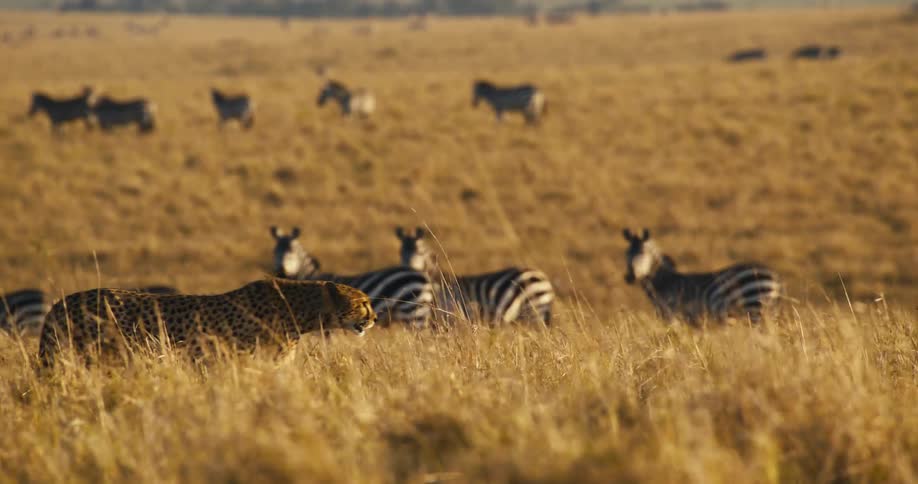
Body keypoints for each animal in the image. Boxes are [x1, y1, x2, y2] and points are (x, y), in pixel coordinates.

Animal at [395, 226, 554, 326]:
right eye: (400, 252)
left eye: (420, 252)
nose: (409, 268)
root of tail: (542, 275)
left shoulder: (450, 314)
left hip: (534, 311)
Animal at [622, 228, 782, 325]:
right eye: (626, 254)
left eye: (642, 254)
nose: (629, 277)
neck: (664, 282)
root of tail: (775, 277)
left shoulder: (672, 315)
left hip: (754, 306)